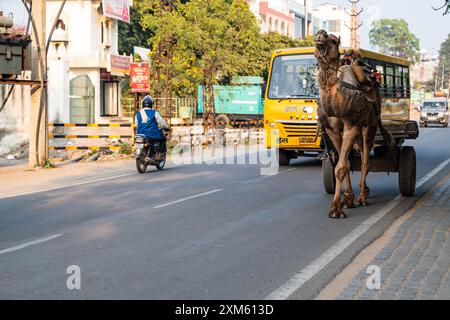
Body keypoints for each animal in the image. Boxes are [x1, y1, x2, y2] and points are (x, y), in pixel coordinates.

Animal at [314, 30, 382, 219]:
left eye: (333, 40)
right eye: (319, 37)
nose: (320, 33)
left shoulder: (351, 124)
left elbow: (340, 167)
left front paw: (336, 208)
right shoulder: (332, 129)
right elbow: (345, 164)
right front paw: (347, 199)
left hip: (370, 123)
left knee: (366, 160)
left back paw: (363, 196)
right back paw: (358, 195)